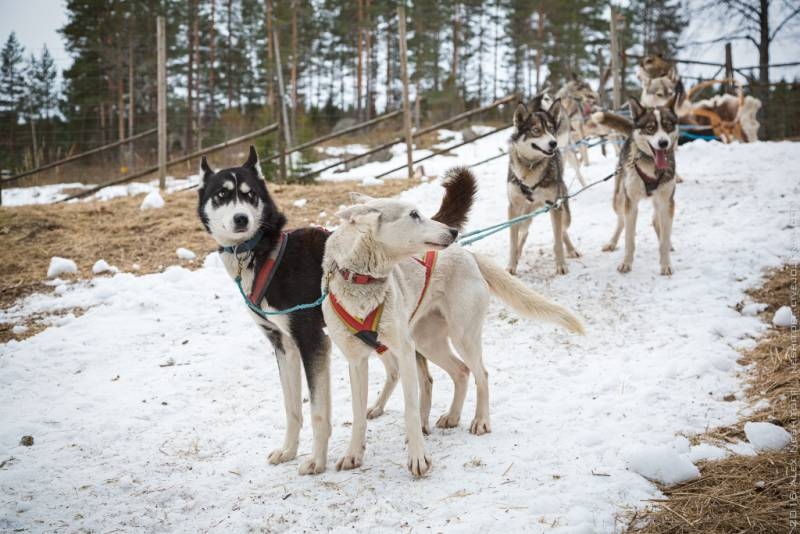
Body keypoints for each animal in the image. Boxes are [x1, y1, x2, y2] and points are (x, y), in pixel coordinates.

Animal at [322, 170, 584, 480]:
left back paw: (480, 420)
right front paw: (353, 454)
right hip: (428, 342)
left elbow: (412, 408)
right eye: (414, 214)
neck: (362, 281)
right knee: (461, 372)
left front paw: (417, 457)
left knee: (481, 373)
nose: (453, 231)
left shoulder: (404, 352)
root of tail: (468, 253)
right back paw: (453, 416)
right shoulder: (356, 361)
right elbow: (358, 413)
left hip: (461, 336)